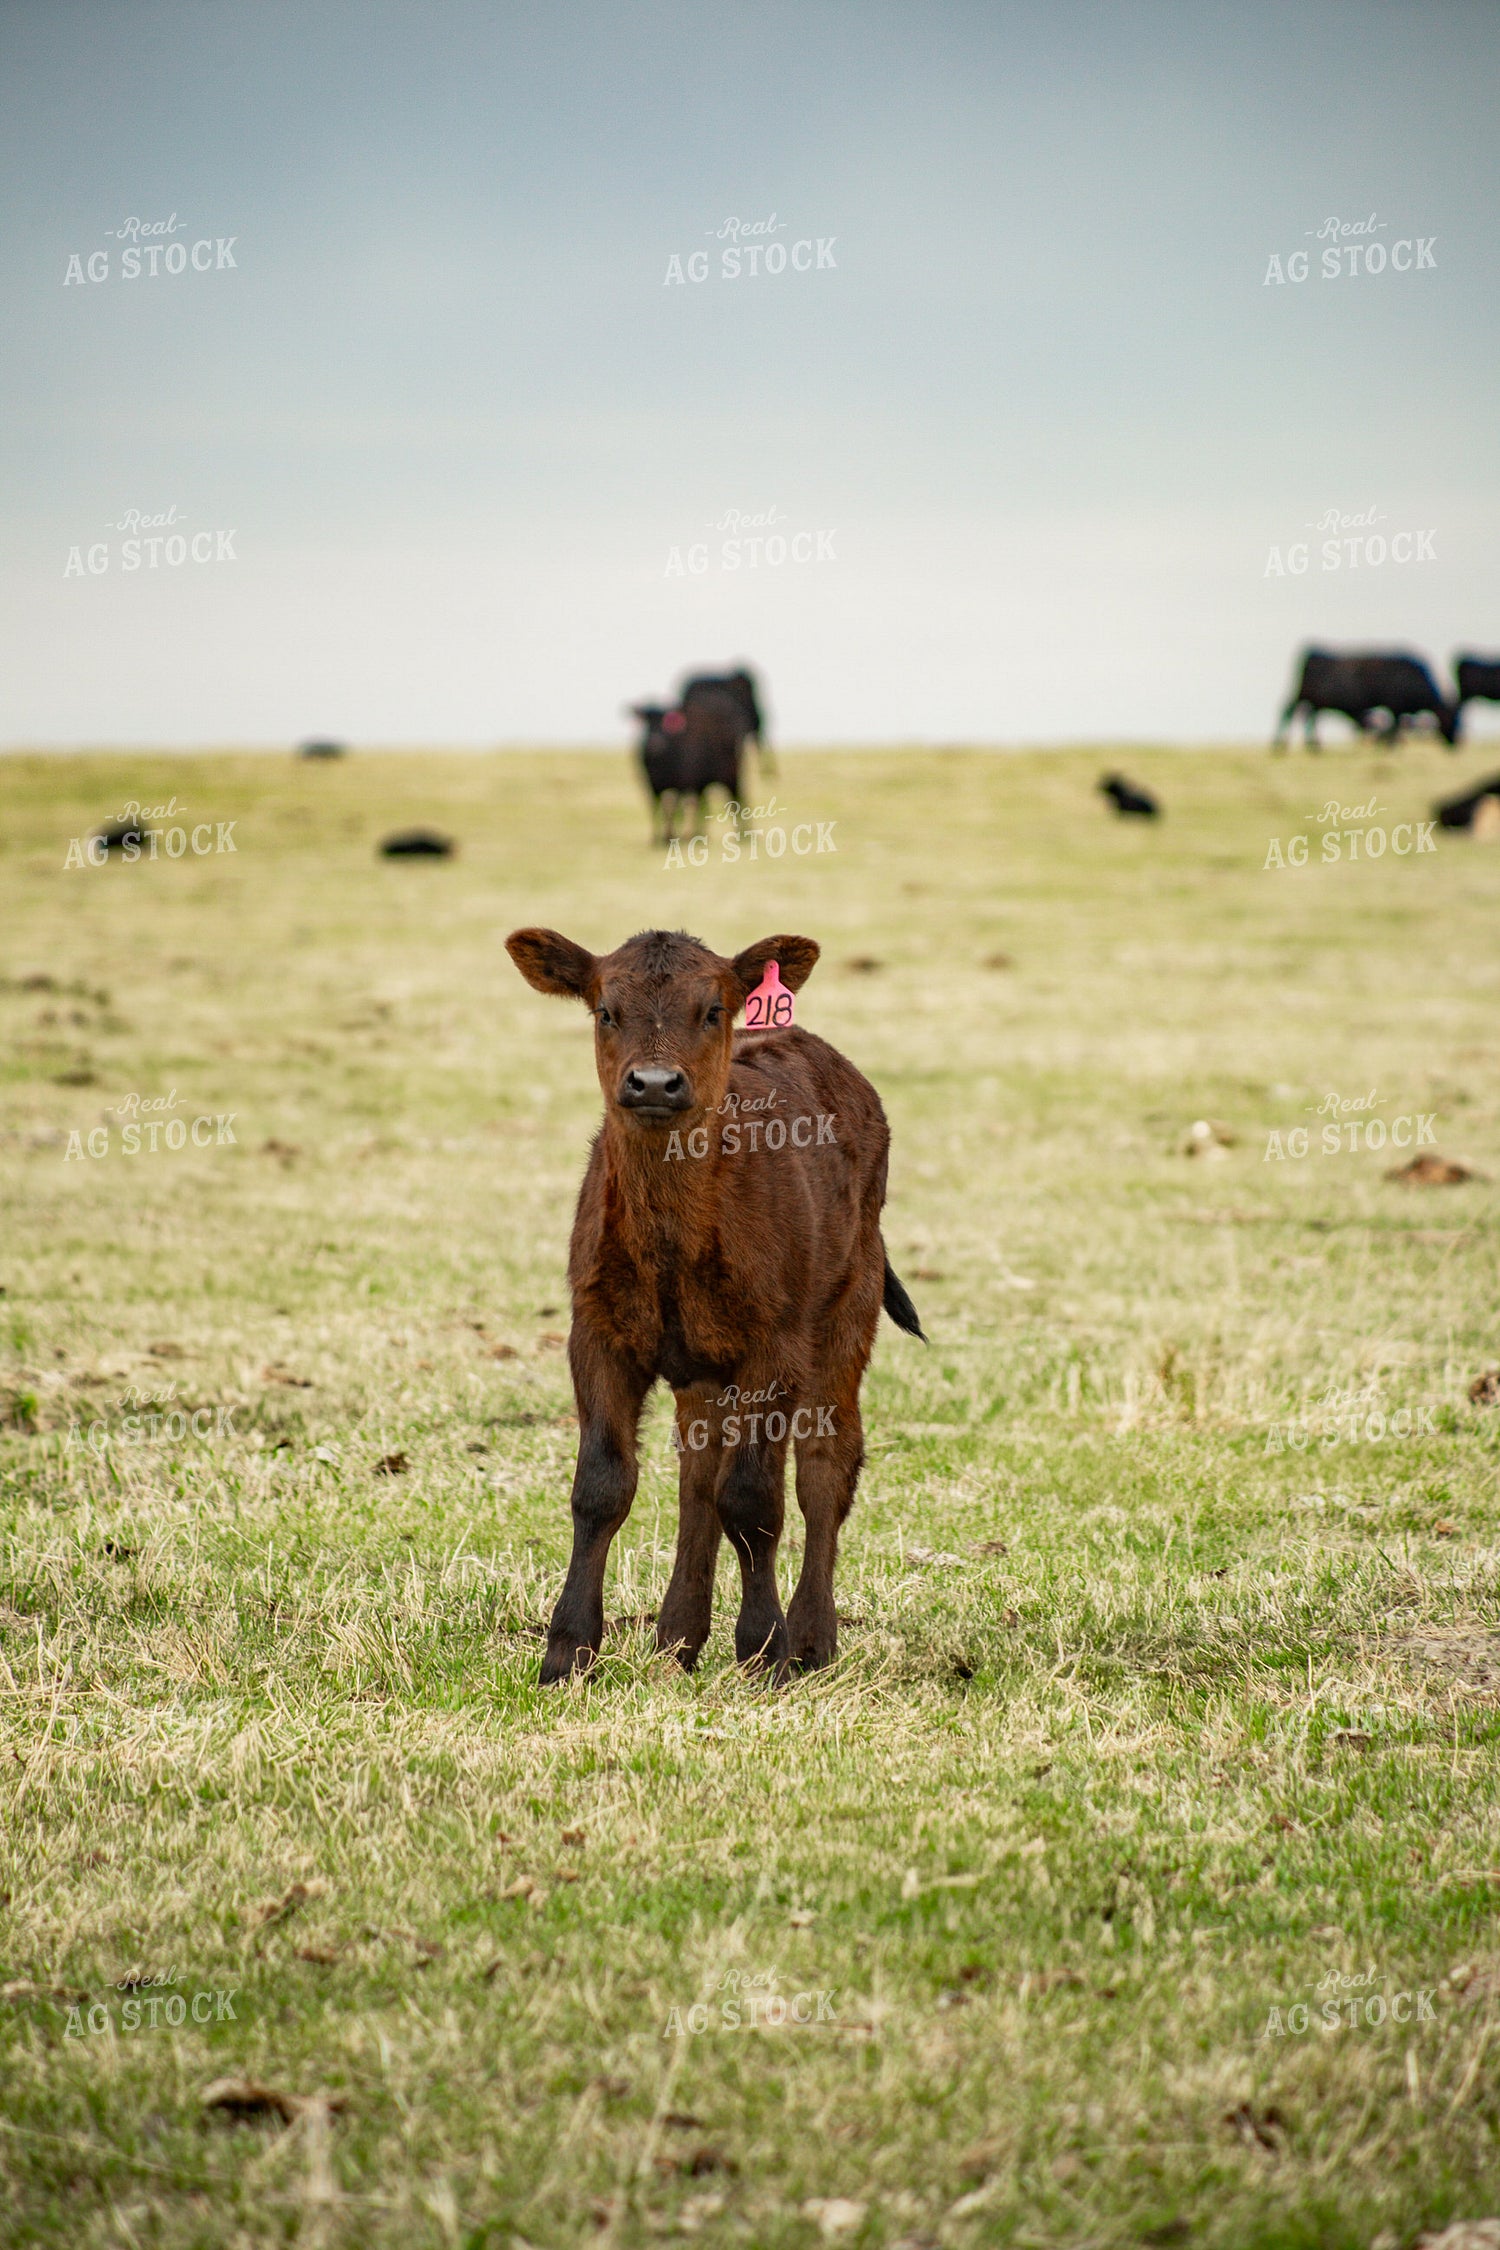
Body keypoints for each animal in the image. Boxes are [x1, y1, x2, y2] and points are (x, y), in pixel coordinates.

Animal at [503, 924, 925, 1686]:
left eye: (713, 1009)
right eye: (604, 1010)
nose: (654, 1083)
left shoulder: (775, 1341)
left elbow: (754, 1498)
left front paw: (765, 1648)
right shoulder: (595, 1332)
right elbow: (601, 1486)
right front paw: (567, 1650)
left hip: (847, 1309)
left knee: (825, 1466)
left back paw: (812, 1637)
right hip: (702, 1364)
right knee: (698, 1468)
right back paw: (678, 1635)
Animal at [1274, 648, 1459, 749]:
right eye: (1452, 719)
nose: (1454, 743)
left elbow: (1393, 728)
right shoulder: (1394, 706)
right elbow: (1394, 728)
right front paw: (1391, 746)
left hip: (1312, 698)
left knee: (1308, 715)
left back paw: (1311, 745)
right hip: (1304, 694)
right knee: (1290, 711)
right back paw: (1283, 745)